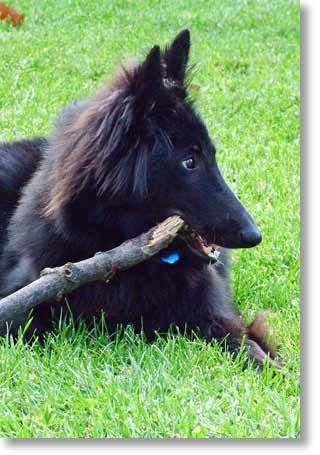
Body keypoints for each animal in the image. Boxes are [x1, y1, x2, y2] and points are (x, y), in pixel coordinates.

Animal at [0, 30, 276, 368]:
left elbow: (247, 345)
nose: (254, 235)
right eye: (189, 161)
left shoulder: (213, 313)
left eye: (212, 155)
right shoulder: (20, 300)